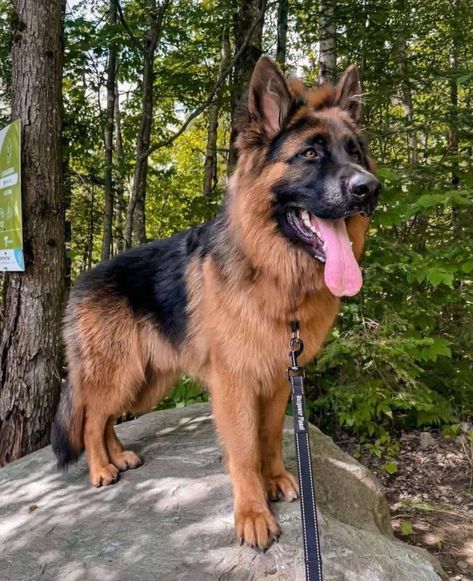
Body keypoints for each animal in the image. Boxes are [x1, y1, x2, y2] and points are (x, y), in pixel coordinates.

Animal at [50, 57, 380, 548]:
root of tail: (81, 281)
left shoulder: (280, 379)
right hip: (121, 372)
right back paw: (100, 467)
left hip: (145, 381)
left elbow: (269, 436)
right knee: (91, 418)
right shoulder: (235, 384)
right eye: (310, 154)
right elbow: (243, 450)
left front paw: (275, 478)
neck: (273, 273)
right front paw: (253, 513)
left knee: (106, 417)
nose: (370, 189)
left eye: (354, 152)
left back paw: (119, 455)